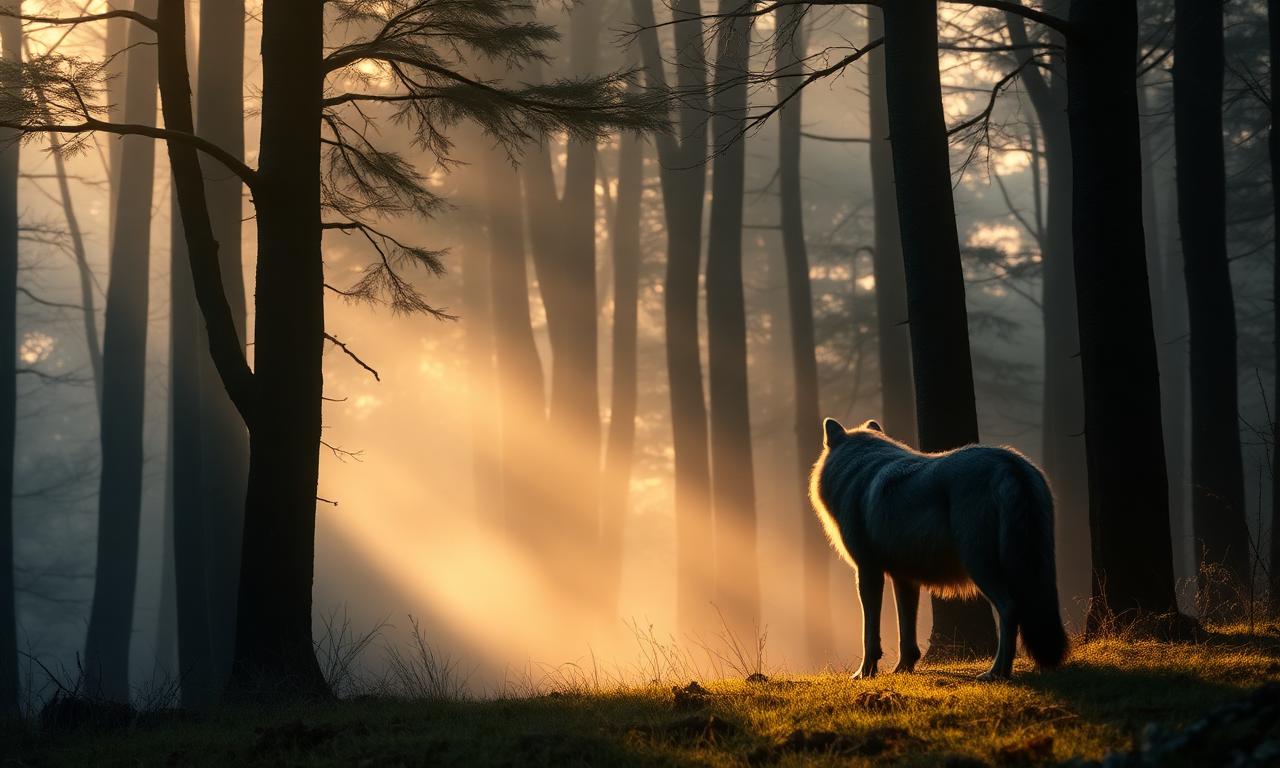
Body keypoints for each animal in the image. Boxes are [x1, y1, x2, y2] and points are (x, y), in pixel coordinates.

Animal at [809, 418, 1068, 680]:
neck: (857, 471)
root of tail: (1011, 463)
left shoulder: (868, 571)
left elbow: (869, 634)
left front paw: (864, 673)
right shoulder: (904, 578)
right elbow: (906, 632)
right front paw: (903, 669)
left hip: (979, 565)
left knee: (1010, 609)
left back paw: (996, 672)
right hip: (1036, 568)